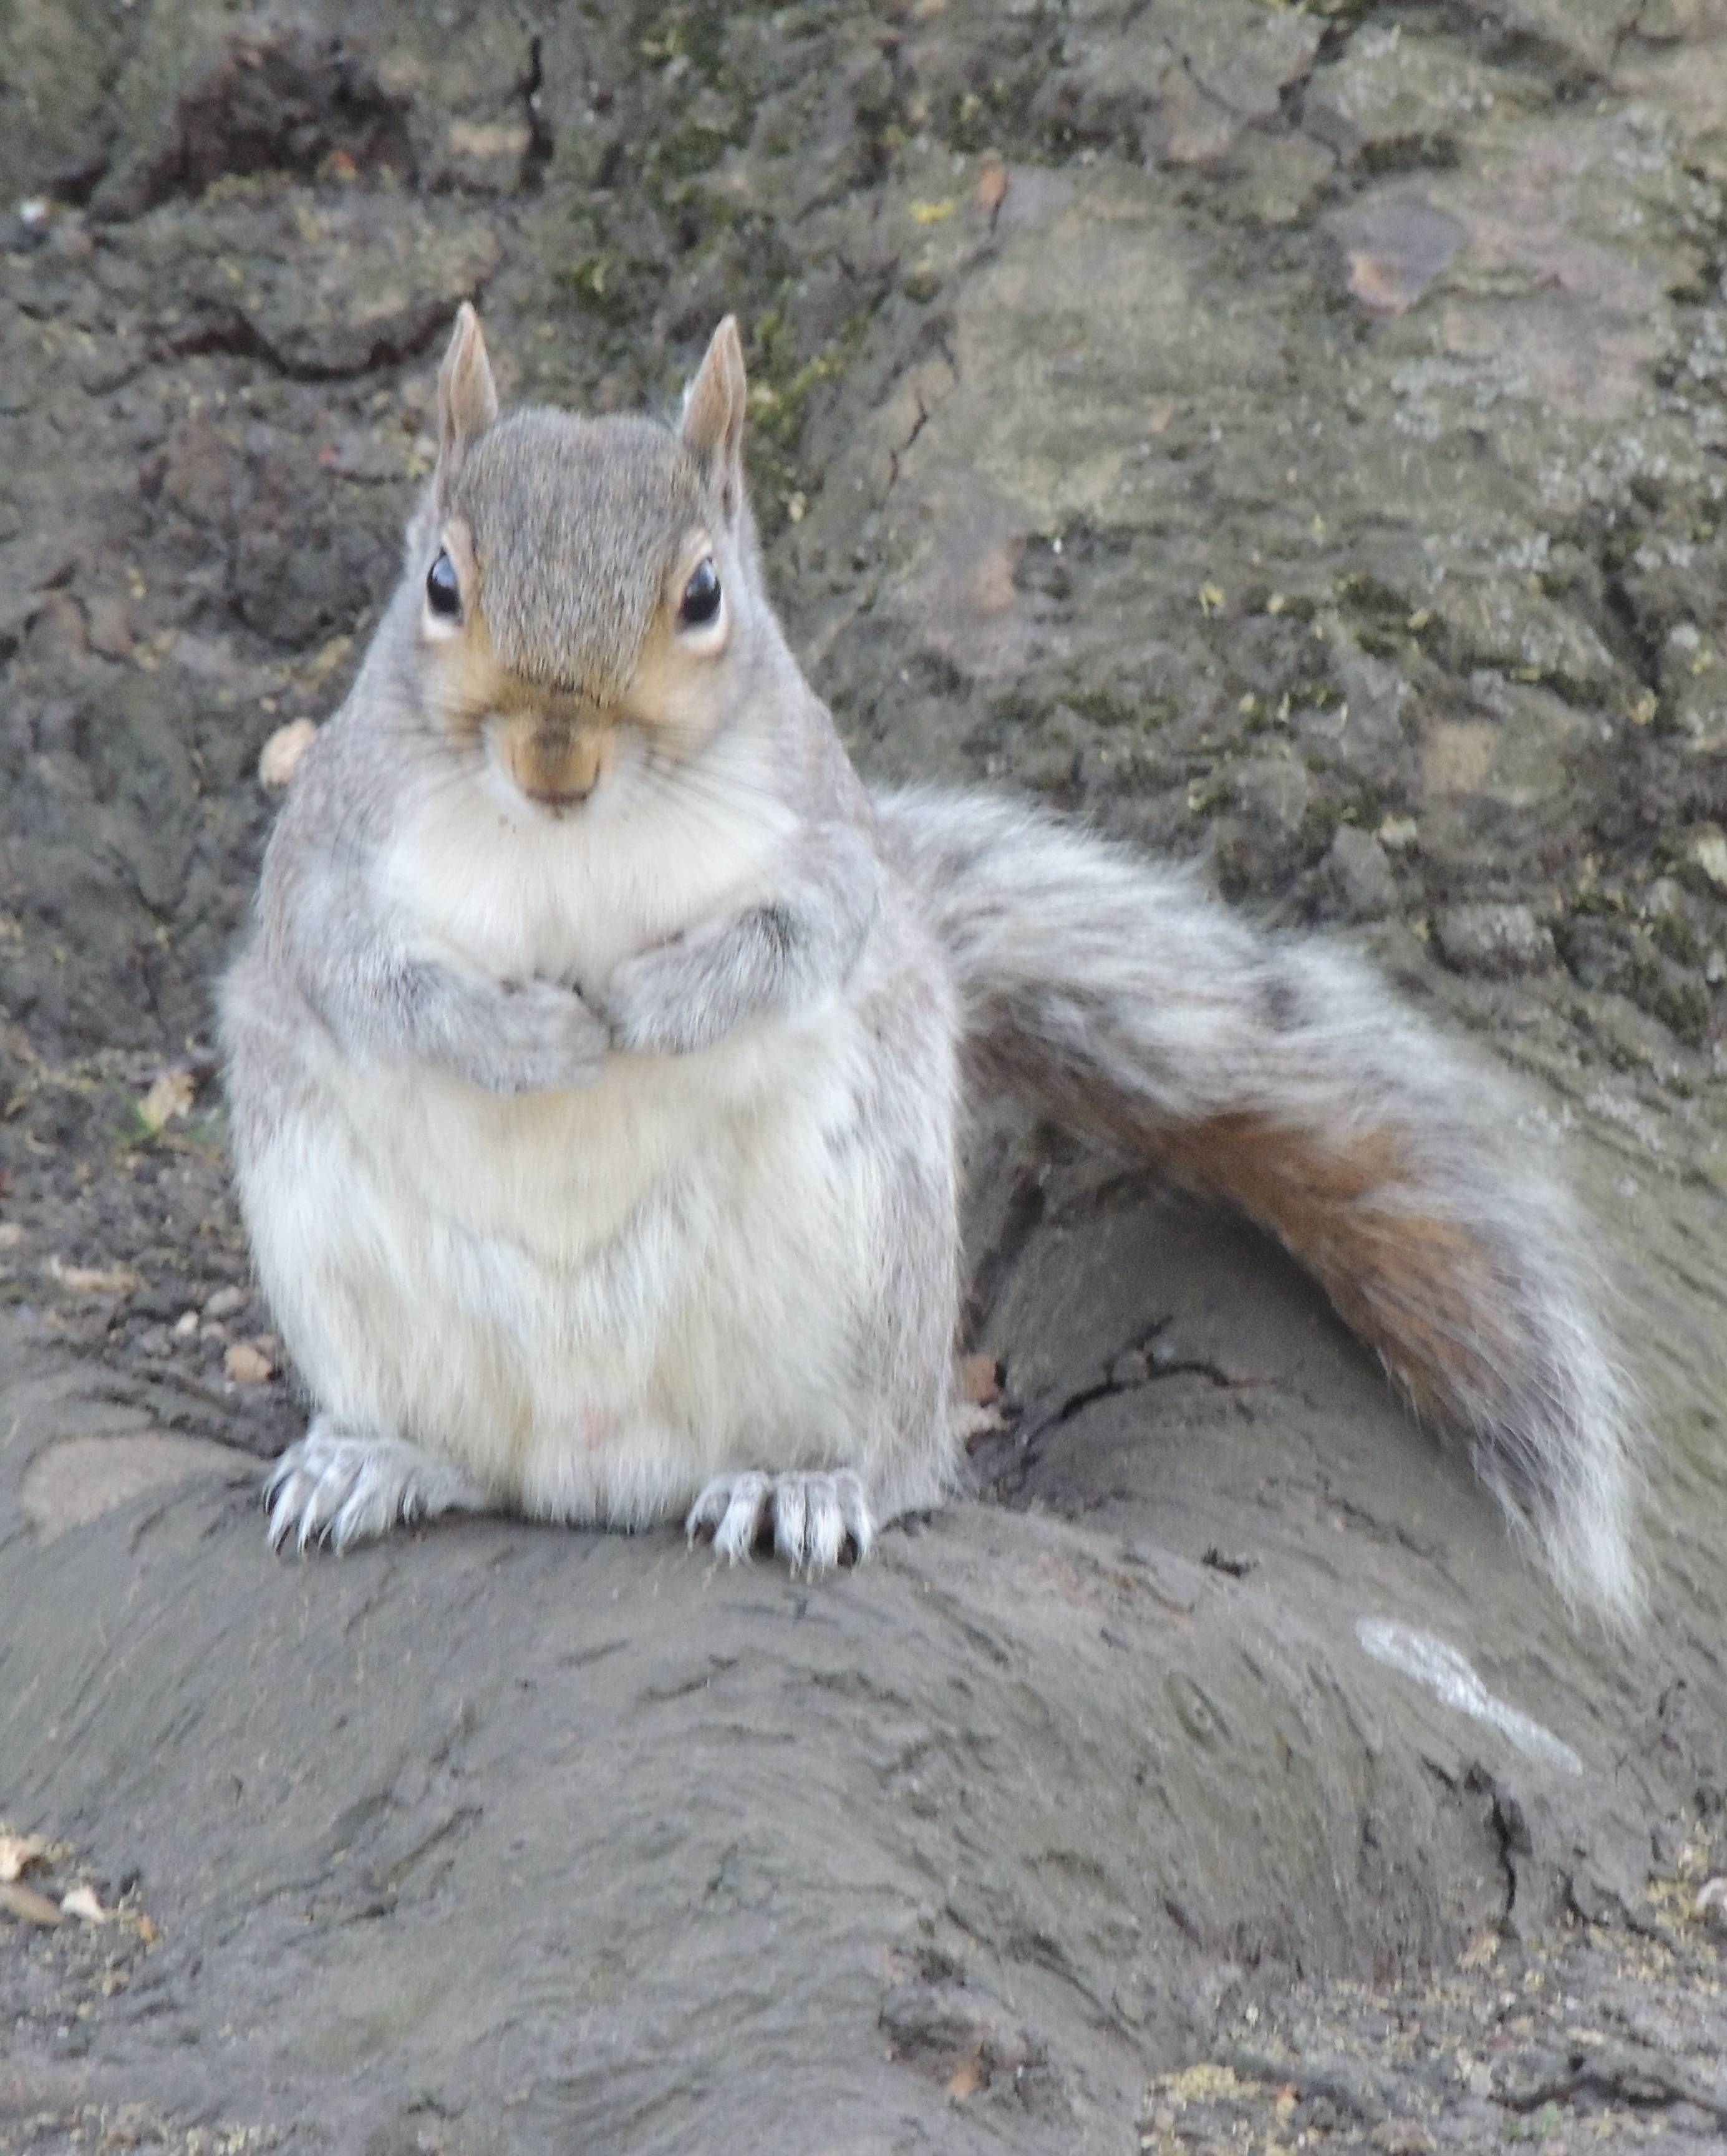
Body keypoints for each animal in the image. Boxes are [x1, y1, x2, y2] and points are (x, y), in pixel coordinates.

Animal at [220, 305, 1644, 1621]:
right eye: (439, 585)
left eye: (702, 595)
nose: (553, 756)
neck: (573, 840)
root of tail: (602, 1479)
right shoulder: (324, 865)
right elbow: (362, 978)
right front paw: (527, 1034)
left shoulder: (827, 847)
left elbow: (794, 941)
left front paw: (650, 1001)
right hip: (339, 1267)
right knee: (468, 1456)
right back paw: (373, 1463)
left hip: (866, 1280)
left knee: (897, 1466)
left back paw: (800, 1486)